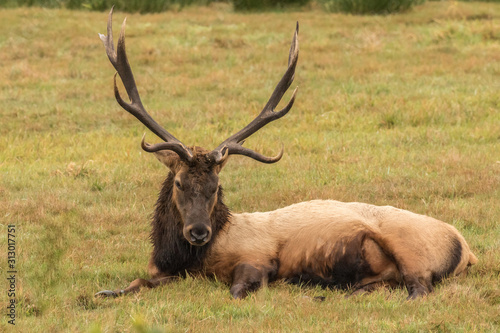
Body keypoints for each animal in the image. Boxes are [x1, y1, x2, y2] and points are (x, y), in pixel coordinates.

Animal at [96, 8, 476, 298]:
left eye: (216, 187)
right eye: (179, 182)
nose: (199, 231)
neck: (188, 259)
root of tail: (467, 249)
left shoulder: (258, 257)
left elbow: (237, 291)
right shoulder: (160, 272)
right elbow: (132, 283)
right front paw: (106, 291)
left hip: (412, 250)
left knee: (419, 288)